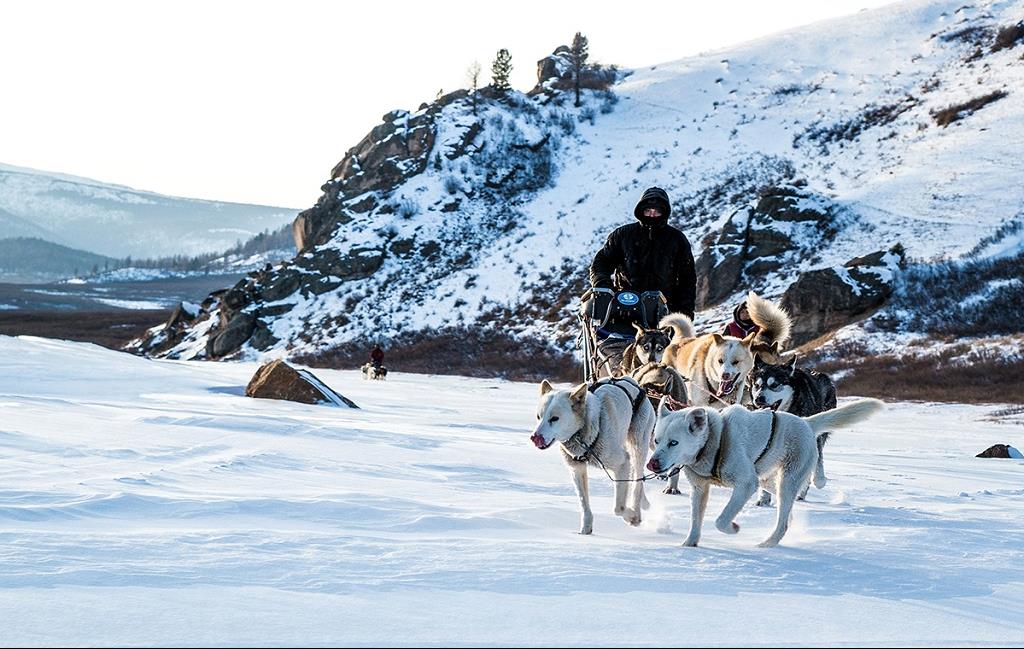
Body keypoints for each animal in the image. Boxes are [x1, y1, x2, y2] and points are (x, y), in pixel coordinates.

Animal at [528, 376, 655, 532]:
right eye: (538, 417)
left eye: (554, 418)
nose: (534, 437)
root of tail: (631, 381)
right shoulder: (577, 469)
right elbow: (584, 505)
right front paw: (585, 530)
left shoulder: (621, 463)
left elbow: (618, 508)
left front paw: (631, 516)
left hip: (637, 447)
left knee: (637, 481)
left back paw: (636, 510)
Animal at [647, 397, 880, 544]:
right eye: (657, 440)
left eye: (674, 443)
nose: (652, 464)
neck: (715, 439)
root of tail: (806, 423)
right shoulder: (700, 489)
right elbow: (696, 522)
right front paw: (689, 546)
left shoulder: (745, 484)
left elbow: (721, 520)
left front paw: (733, 528)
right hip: (768, 480)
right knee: (785, 512)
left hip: (785, 481)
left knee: (782, 522)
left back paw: (766, 544)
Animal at [749, 354, 835, 505]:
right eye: (757, 385)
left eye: (774, 385)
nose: (759, 399)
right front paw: (763, 499)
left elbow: (817, 468)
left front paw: (819, 480)